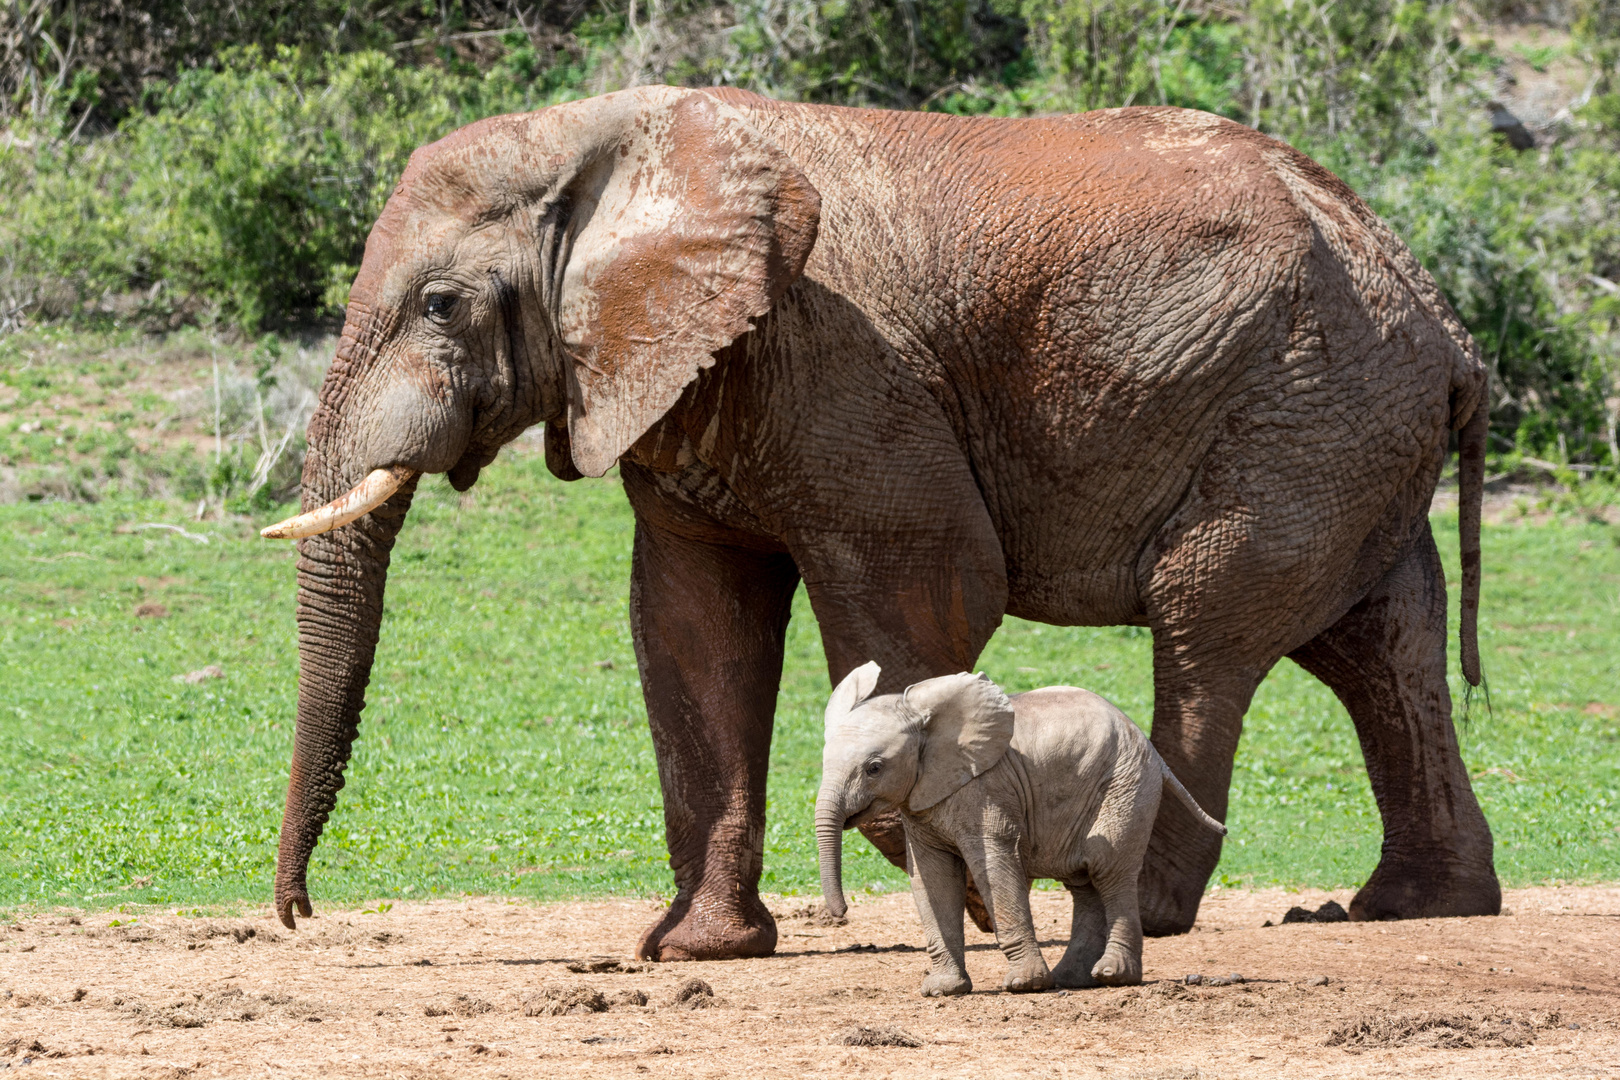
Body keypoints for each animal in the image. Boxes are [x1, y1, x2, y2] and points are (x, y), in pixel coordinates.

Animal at [262, 86, 1490, 965]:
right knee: (1382, 645)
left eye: (440, 306)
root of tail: (1448, 327)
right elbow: (693, 623)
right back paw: (1408, 908)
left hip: (1305, 409)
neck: (613, 139)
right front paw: (696, 951)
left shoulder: (846, 358)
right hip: (1346, 427)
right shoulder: (689, 378)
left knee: (1211, 625)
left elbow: (927, 582)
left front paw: (975, 894)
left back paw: (1149, 909)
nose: (301, 915)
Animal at [816, 663, 1218, 1003]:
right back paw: (1072, 978)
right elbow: (932, 876)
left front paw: (1024, 985)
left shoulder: (985, 790)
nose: (841, 913)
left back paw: (1112, 975)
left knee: (1107, 869)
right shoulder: (921, 799)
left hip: (1126, 785)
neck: (923, 716)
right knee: (1083, 881)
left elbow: (992, 866)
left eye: (874, 768)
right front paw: (942, 990)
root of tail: (1152, 750)